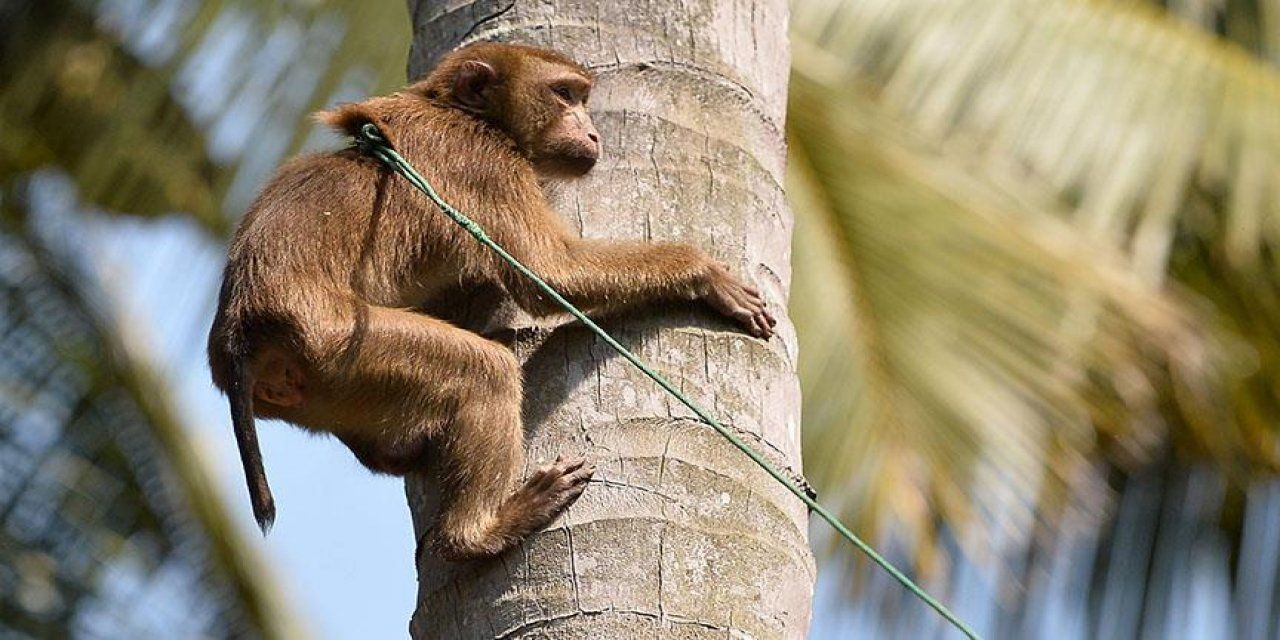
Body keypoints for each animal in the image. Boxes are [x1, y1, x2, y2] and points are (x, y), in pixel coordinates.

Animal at [204, 41, 773, 560]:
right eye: (564, 95)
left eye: (582, 100)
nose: (592, 132)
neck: (456, 110)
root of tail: (240, 330)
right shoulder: (487, 164)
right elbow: (550, 275)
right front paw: (703, 271)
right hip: (337, 343)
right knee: (485, 370)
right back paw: (479, 533)